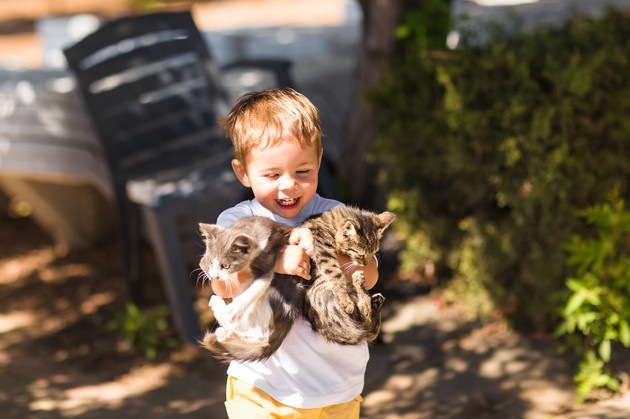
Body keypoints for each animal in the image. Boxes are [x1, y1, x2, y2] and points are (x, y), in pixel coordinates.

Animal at [198, 217, 306, 364]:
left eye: (225, 265)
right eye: (210, 260)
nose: (215, 277)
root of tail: (291, 314)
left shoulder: (268, 261)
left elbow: (257, 287)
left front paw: (231, 311)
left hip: (279, 293)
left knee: (262, 337)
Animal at [300, 208, 398, 346]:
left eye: (373, 252)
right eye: (361, 254)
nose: (365, 264)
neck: (329, 225)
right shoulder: (323, 252)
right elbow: (336, 275)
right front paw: (345, 301)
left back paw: (375, 300)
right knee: (364, 314)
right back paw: (361, 287)